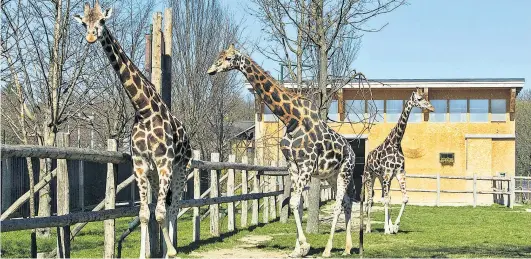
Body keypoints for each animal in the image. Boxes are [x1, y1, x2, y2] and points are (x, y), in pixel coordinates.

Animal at [74, 1, 191, 258]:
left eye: (102, 21)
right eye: (85, 23)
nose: (91, 36)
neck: (144, 110)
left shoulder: (165, 162)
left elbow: (160, 212)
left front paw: (170, 251)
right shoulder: (141, 164)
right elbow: (145, 213)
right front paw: (144, 254)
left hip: (181, 168)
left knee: (174, 206)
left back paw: (172, 249)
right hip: (156, 174)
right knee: (165, 206)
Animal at [208, 44, 358, 258]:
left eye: (228, 58)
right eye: (219, 56)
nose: (211, 70)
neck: (291, 119)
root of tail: (352, 152)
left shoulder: (306, 165)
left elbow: (294, 203)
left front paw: (304, 246)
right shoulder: (293, 166)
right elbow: (295, 203)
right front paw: (297, 249)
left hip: (345, 171)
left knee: (339, 204)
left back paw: (328, 249)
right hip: (331, 175)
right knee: (346, 202)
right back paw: (346, 248)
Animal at [364, 89, 434, 236]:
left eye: (425, 97)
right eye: (419, 99)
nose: (431, 108)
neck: (395, 143)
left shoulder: (399, 172)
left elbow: (404, 198)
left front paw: (394, 227)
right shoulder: (387, 174)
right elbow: (386, 200)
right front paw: (386, 229)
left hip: (383, 178)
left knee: (384, 197)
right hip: (370, 176)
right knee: (370, 200)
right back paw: (368, 229)